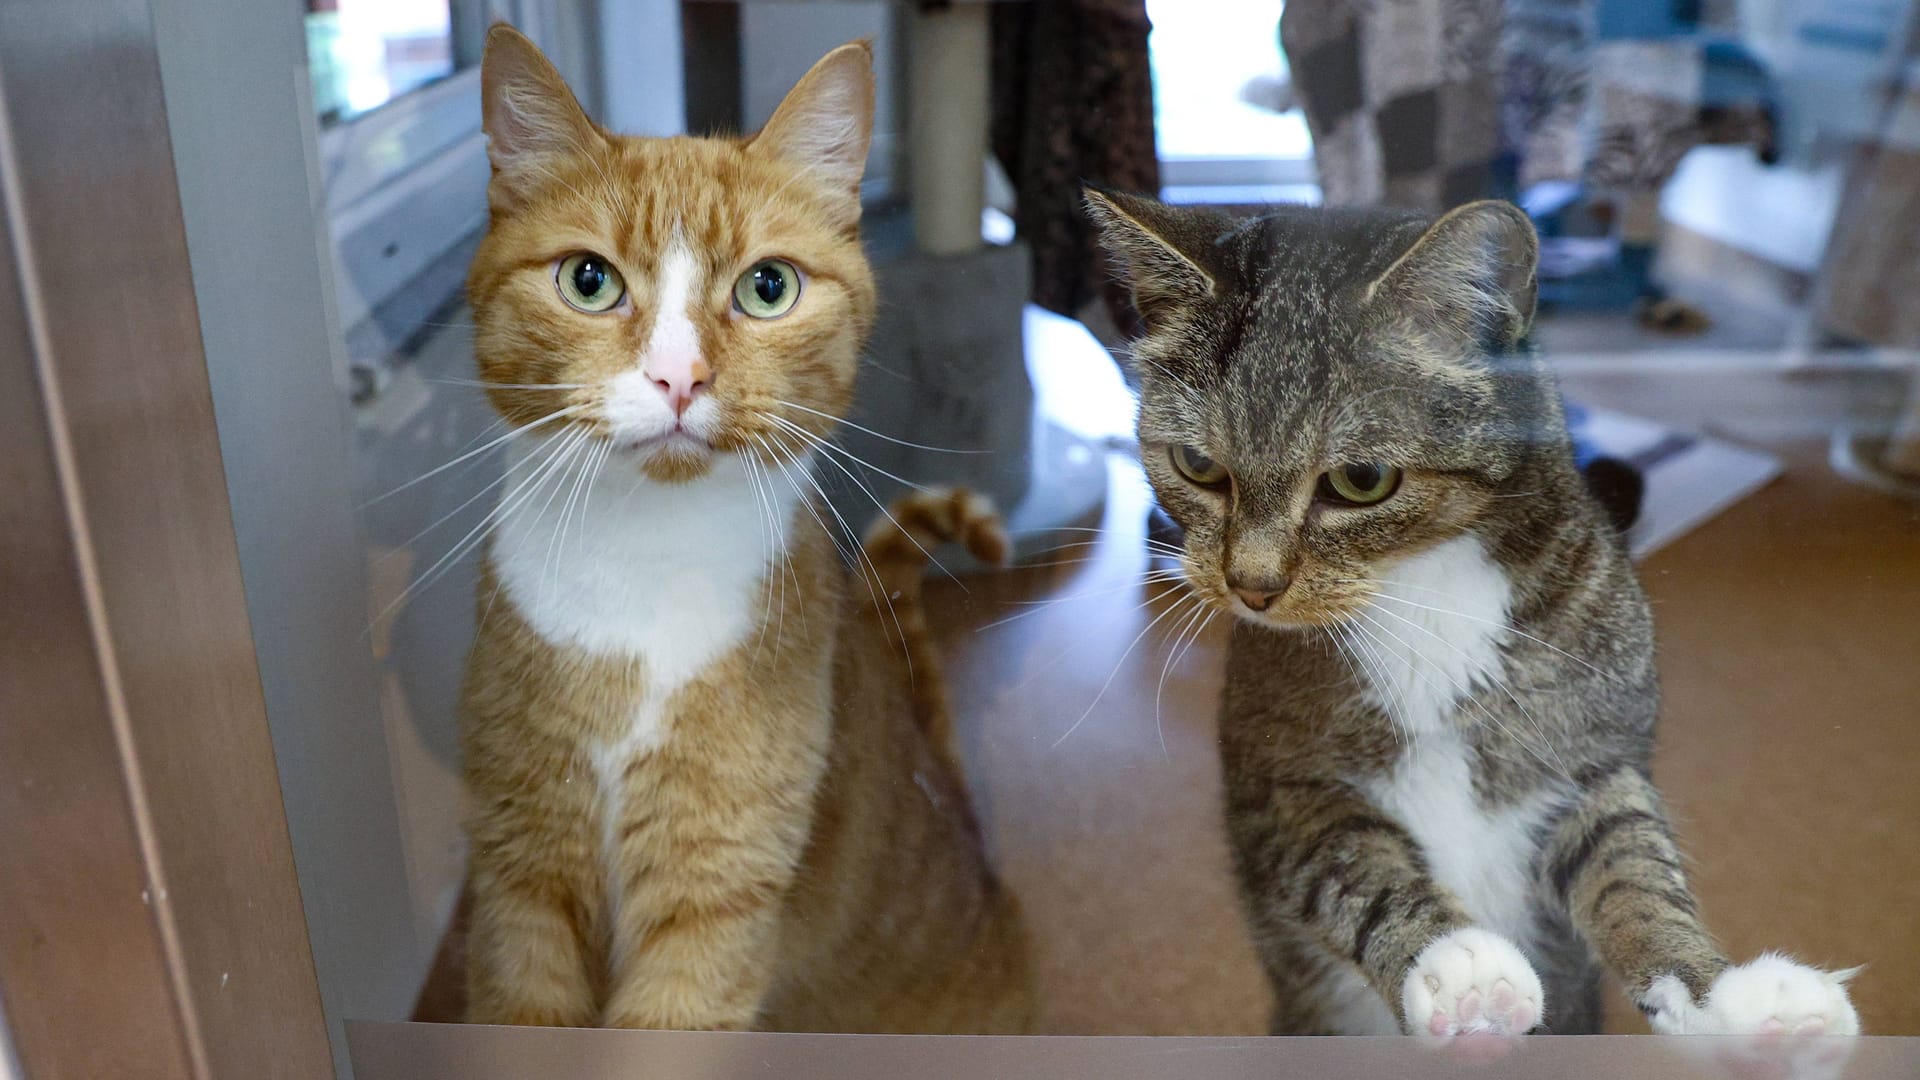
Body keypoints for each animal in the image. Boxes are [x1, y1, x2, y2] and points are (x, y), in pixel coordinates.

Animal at [456, 29, 1036, 1030]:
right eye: (587, 280)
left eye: (768, 288)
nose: (679, 379)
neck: (643, 573)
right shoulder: (518, 876)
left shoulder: (717, 895)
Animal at [1090, 191, 1850, 1037]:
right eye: (1198, 466)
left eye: (1360, 479)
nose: (1249, 585)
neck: (1422, 591)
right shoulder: (1279, 785)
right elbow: (1351, 864)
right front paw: (1451, 959)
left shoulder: (1593, 763)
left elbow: (1636, 871)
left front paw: (1722, 994)